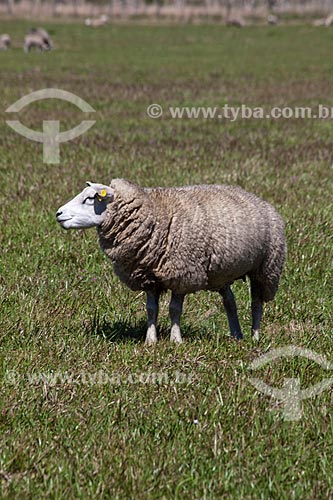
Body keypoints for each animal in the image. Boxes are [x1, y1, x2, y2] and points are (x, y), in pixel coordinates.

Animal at [55, 179, 284, 344]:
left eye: (89, 199)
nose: (58, 214)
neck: (153, 214)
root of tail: (259, 200)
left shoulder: (181, 273)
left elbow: (174, 309)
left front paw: (176, 340)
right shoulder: (147, 275)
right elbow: (151, 309)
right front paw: (150, 341)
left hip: (266, 268)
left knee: (256, 303)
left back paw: (254, 337)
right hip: (221, 274)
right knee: (230, 302)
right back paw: (236, 335)